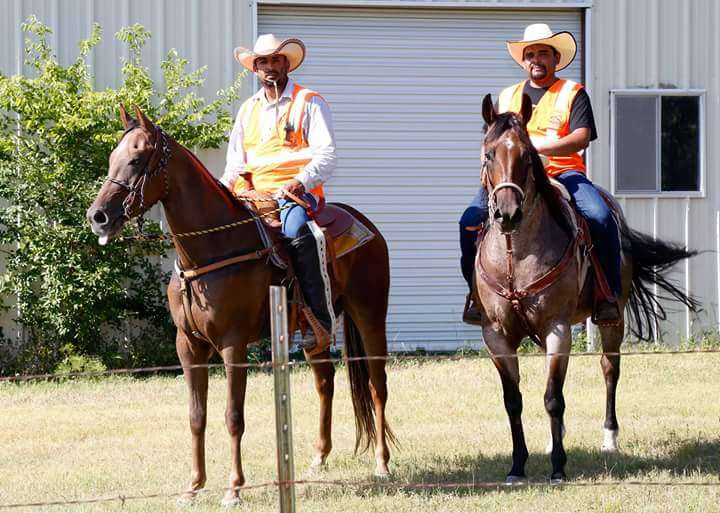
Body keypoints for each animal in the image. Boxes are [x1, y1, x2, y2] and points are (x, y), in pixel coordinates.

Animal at [88, 107, 400, 504]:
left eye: (137, 159)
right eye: (112, 158)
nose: (97, 216)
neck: (211, 253)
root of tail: (366, 224)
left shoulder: (232, 345)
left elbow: (233, 416)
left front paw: (233, 488)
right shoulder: (188, 346)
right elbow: (197, 416)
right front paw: (193, 487)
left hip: (370, 315)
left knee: (378, 386)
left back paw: (382, 464)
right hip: (314, 332)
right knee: (325, 383)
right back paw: (318, 458)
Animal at [476, 94, 696, 482]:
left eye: (526, 155)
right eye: (489, 154)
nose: (508, 213)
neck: (514, 258)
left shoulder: (558, 327)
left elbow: (553, 398)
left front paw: (558, 467)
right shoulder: (496, 335)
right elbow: (513, 400)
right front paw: (517, 466)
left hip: (612, 318)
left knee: (610, 369)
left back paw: (609, 438)